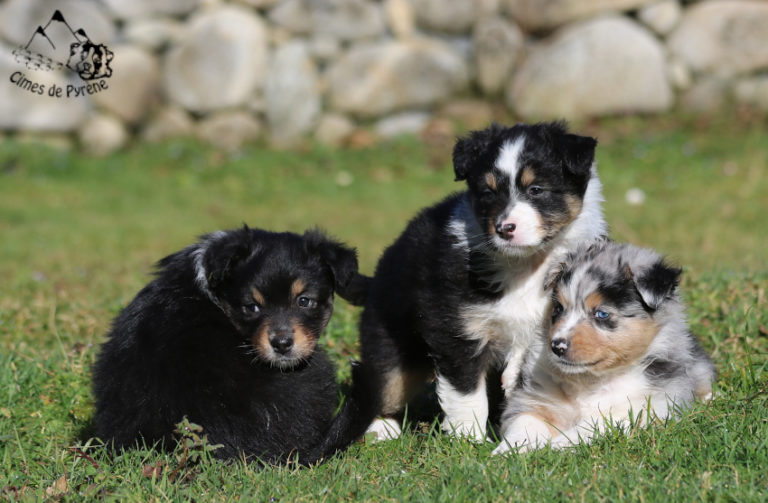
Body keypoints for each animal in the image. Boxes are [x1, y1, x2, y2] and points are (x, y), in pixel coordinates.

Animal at [358, 121, 607, 442]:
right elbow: (467, 393)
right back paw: (382, 428)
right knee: (386, 382)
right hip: (391, 339)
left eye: (536, 190)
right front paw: (469, 441)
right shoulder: (455, 328)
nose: (505, 228)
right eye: (488, 193)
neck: (526, 263)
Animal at [493, 240, 716, 454]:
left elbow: (593, 426)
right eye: (558, 309)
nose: (557, 346)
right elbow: (524, 422)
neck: (591, 380)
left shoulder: (642, 409)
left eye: (601, 314)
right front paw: (510, 450)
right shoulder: (535, 401)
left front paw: (557, 445)